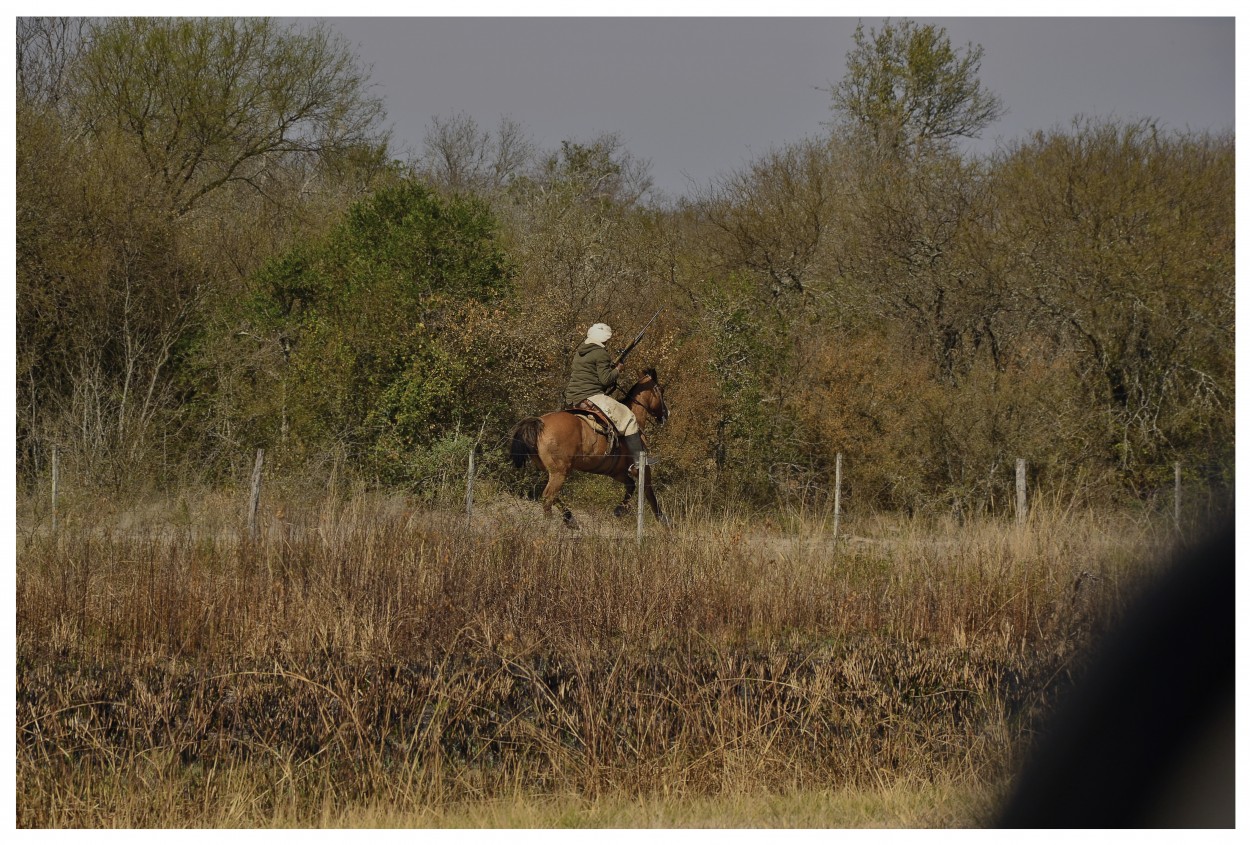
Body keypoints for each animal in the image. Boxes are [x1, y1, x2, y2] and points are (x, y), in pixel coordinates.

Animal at [507, 367, 670, 525]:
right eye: (661, 390)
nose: (666, 414)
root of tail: (540, 422)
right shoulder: (643, 468)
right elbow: (649, 493)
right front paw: (662, 520)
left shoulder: (617, 472)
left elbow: (631, 486)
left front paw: (619, 510)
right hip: (560, 472)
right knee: (548, 497)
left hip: (552, 471)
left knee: (552, 496)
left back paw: (569, 518)